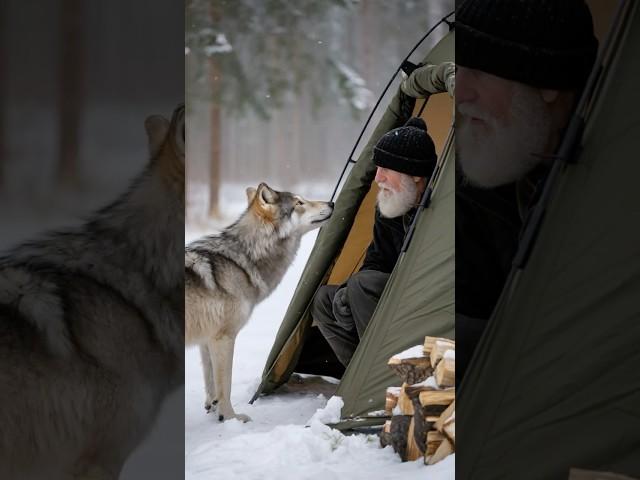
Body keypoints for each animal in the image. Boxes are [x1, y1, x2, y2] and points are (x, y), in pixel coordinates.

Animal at [185, 186, 336, 422]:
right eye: (299, 203)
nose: (332, 203)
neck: (243, 260)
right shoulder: (224, 338)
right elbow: (225, 385)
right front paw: (231, 418)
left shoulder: (207, 340)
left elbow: (211, 383)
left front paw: (214, 409)